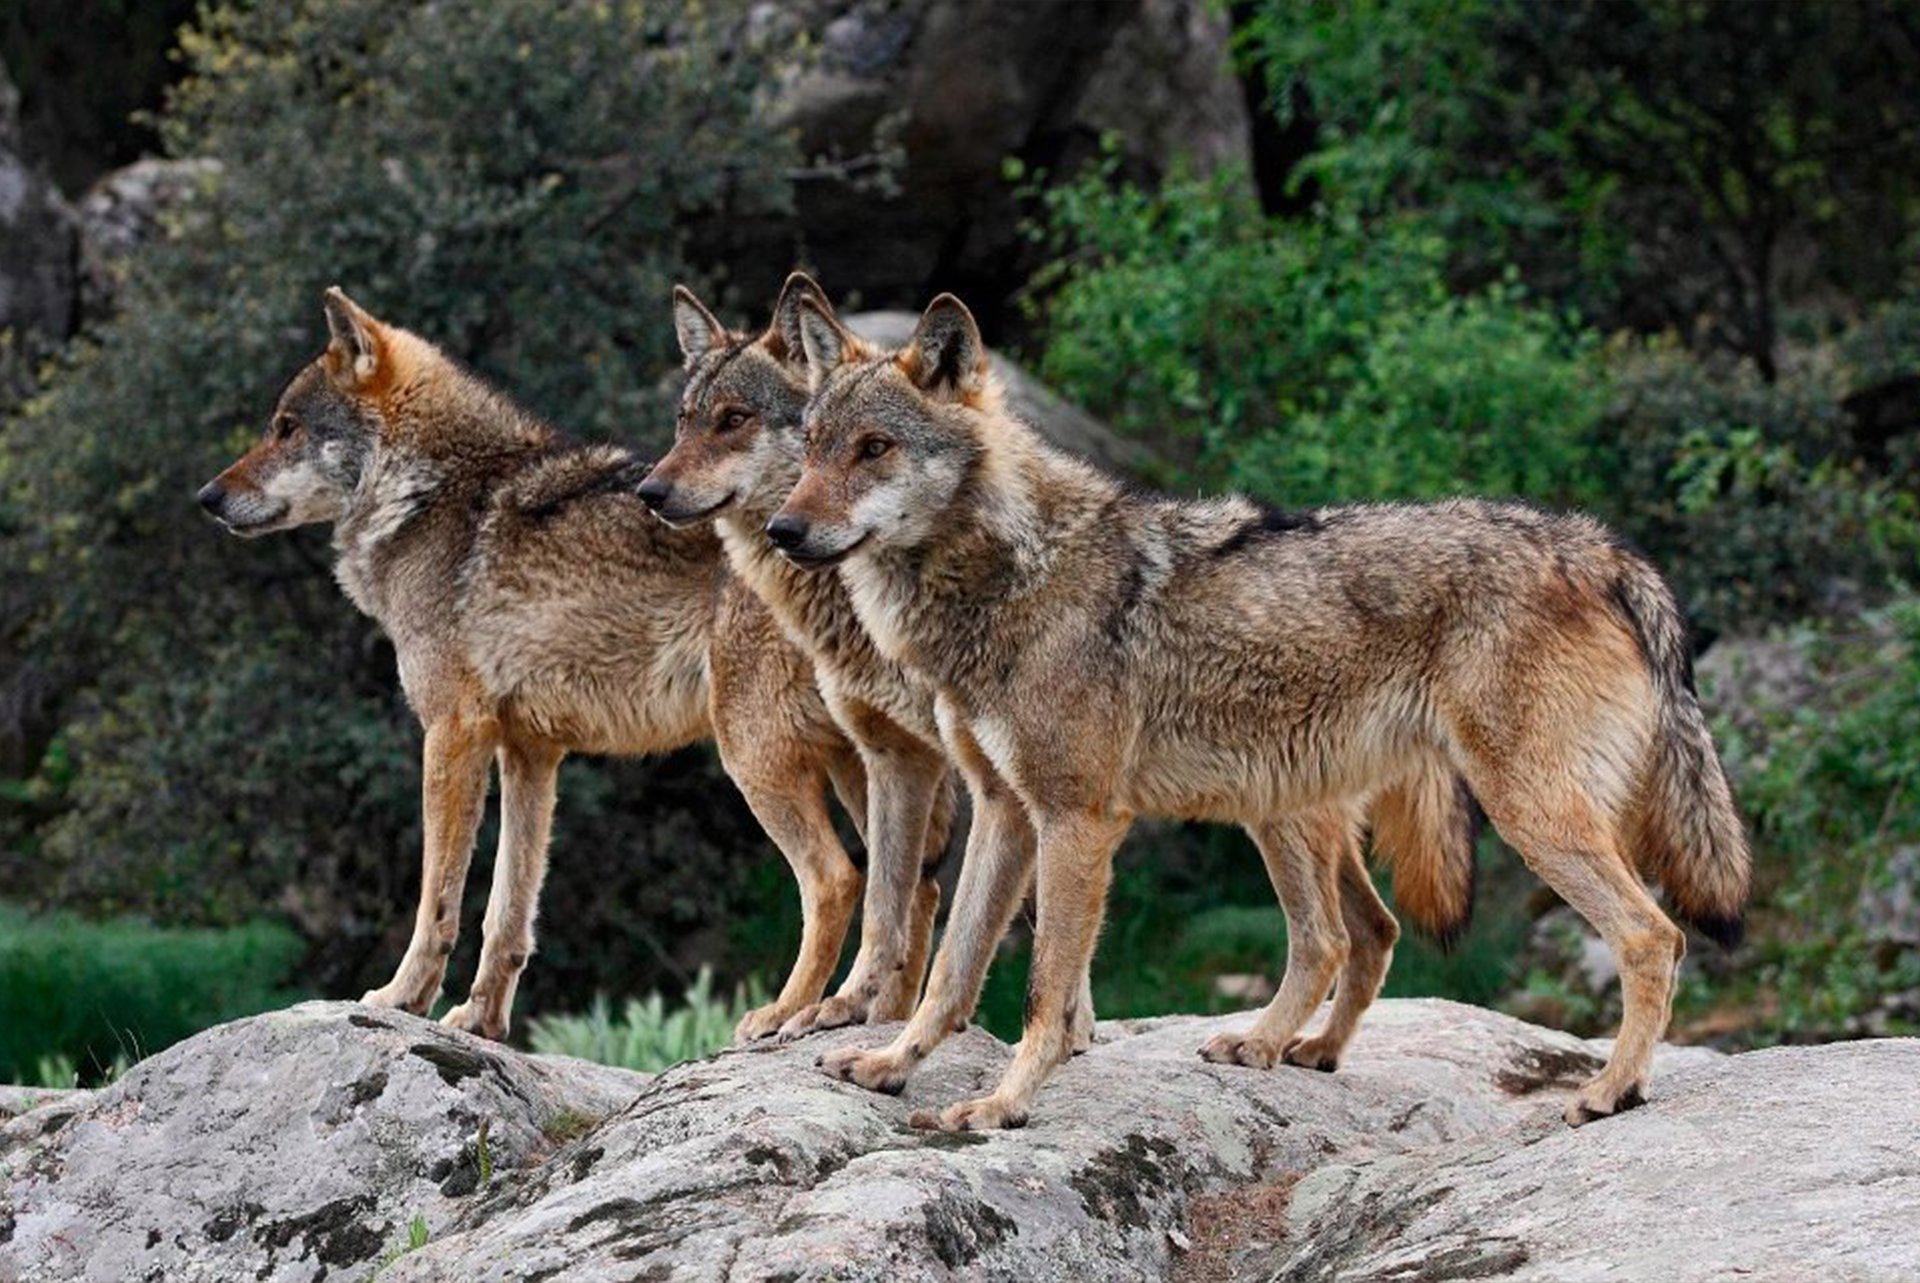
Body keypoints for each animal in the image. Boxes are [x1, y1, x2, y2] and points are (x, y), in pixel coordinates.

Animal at [197, 288, 893, 1043]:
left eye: (286, 428)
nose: (207, 496)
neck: (432, 494)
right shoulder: (530, 752)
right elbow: (509, 910)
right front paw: (480, 1019)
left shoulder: (452, 733)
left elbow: (437, 899)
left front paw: (400, 998)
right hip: (854, 764)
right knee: (913, 883)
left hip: (753, 755)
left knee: (837, 878)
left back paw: (788, 1014)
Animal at [774, 292, 1750, 1132]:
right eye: (813, 446)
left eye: (874, 448)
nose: (784, 531)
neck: (1012, 573)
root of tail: (1602, 546)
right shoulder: (1005, 809)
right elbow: (952, 966)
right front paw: (889, 1063)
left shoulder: (1078, 818)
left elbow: (1045, 988)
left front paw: (1003, 1103)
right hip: (1283, 803)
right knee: (1341, 938)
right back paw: (1287, 1046)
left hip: (1519, 815)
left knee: (1652, 935)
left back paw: (1611, 1090)